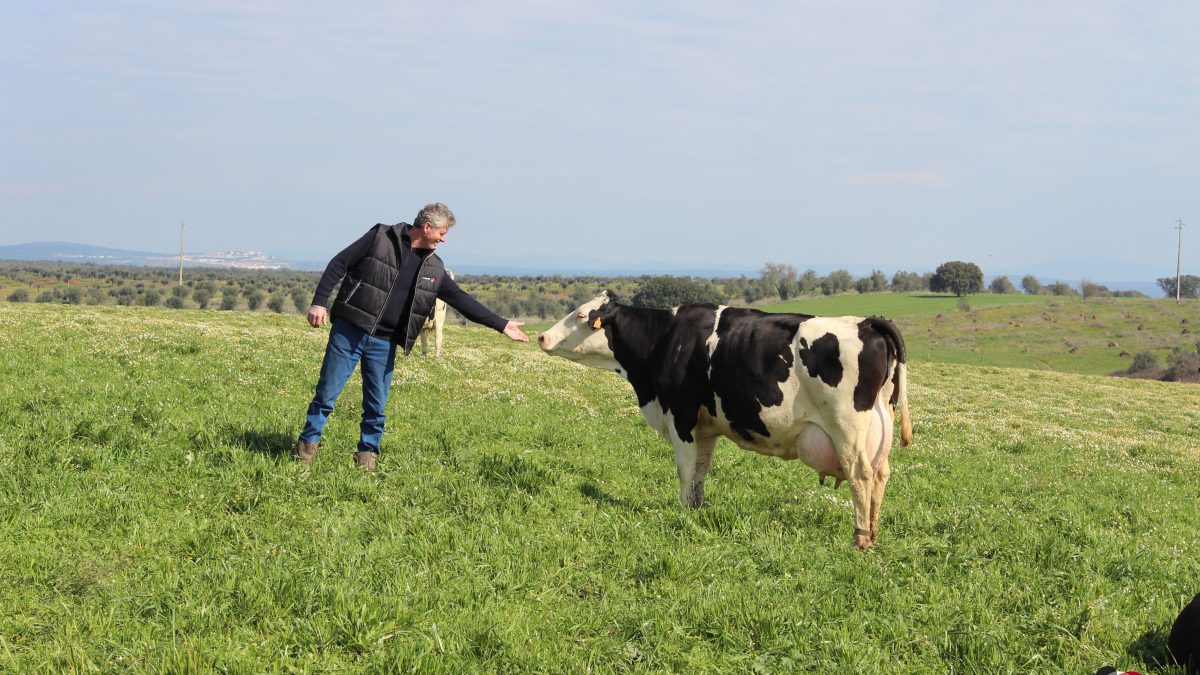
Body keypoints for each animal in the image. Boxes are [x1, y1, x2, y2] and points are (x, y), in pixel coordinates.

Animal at [540, 289, 912, 547]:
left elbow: (685, 469)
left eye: (580, 315)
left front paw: (683, 514)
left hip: (846, 428)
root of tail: (866, 322)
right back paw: (873, 532)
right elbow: (700, 473)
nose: (542, 336)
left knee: (861, 476)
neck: (665, 338)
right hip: (880, 427)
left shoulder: (680, 417)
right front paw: (696, 511)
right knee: (881, 475)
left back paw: (860, 539)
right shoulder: (705, 428)